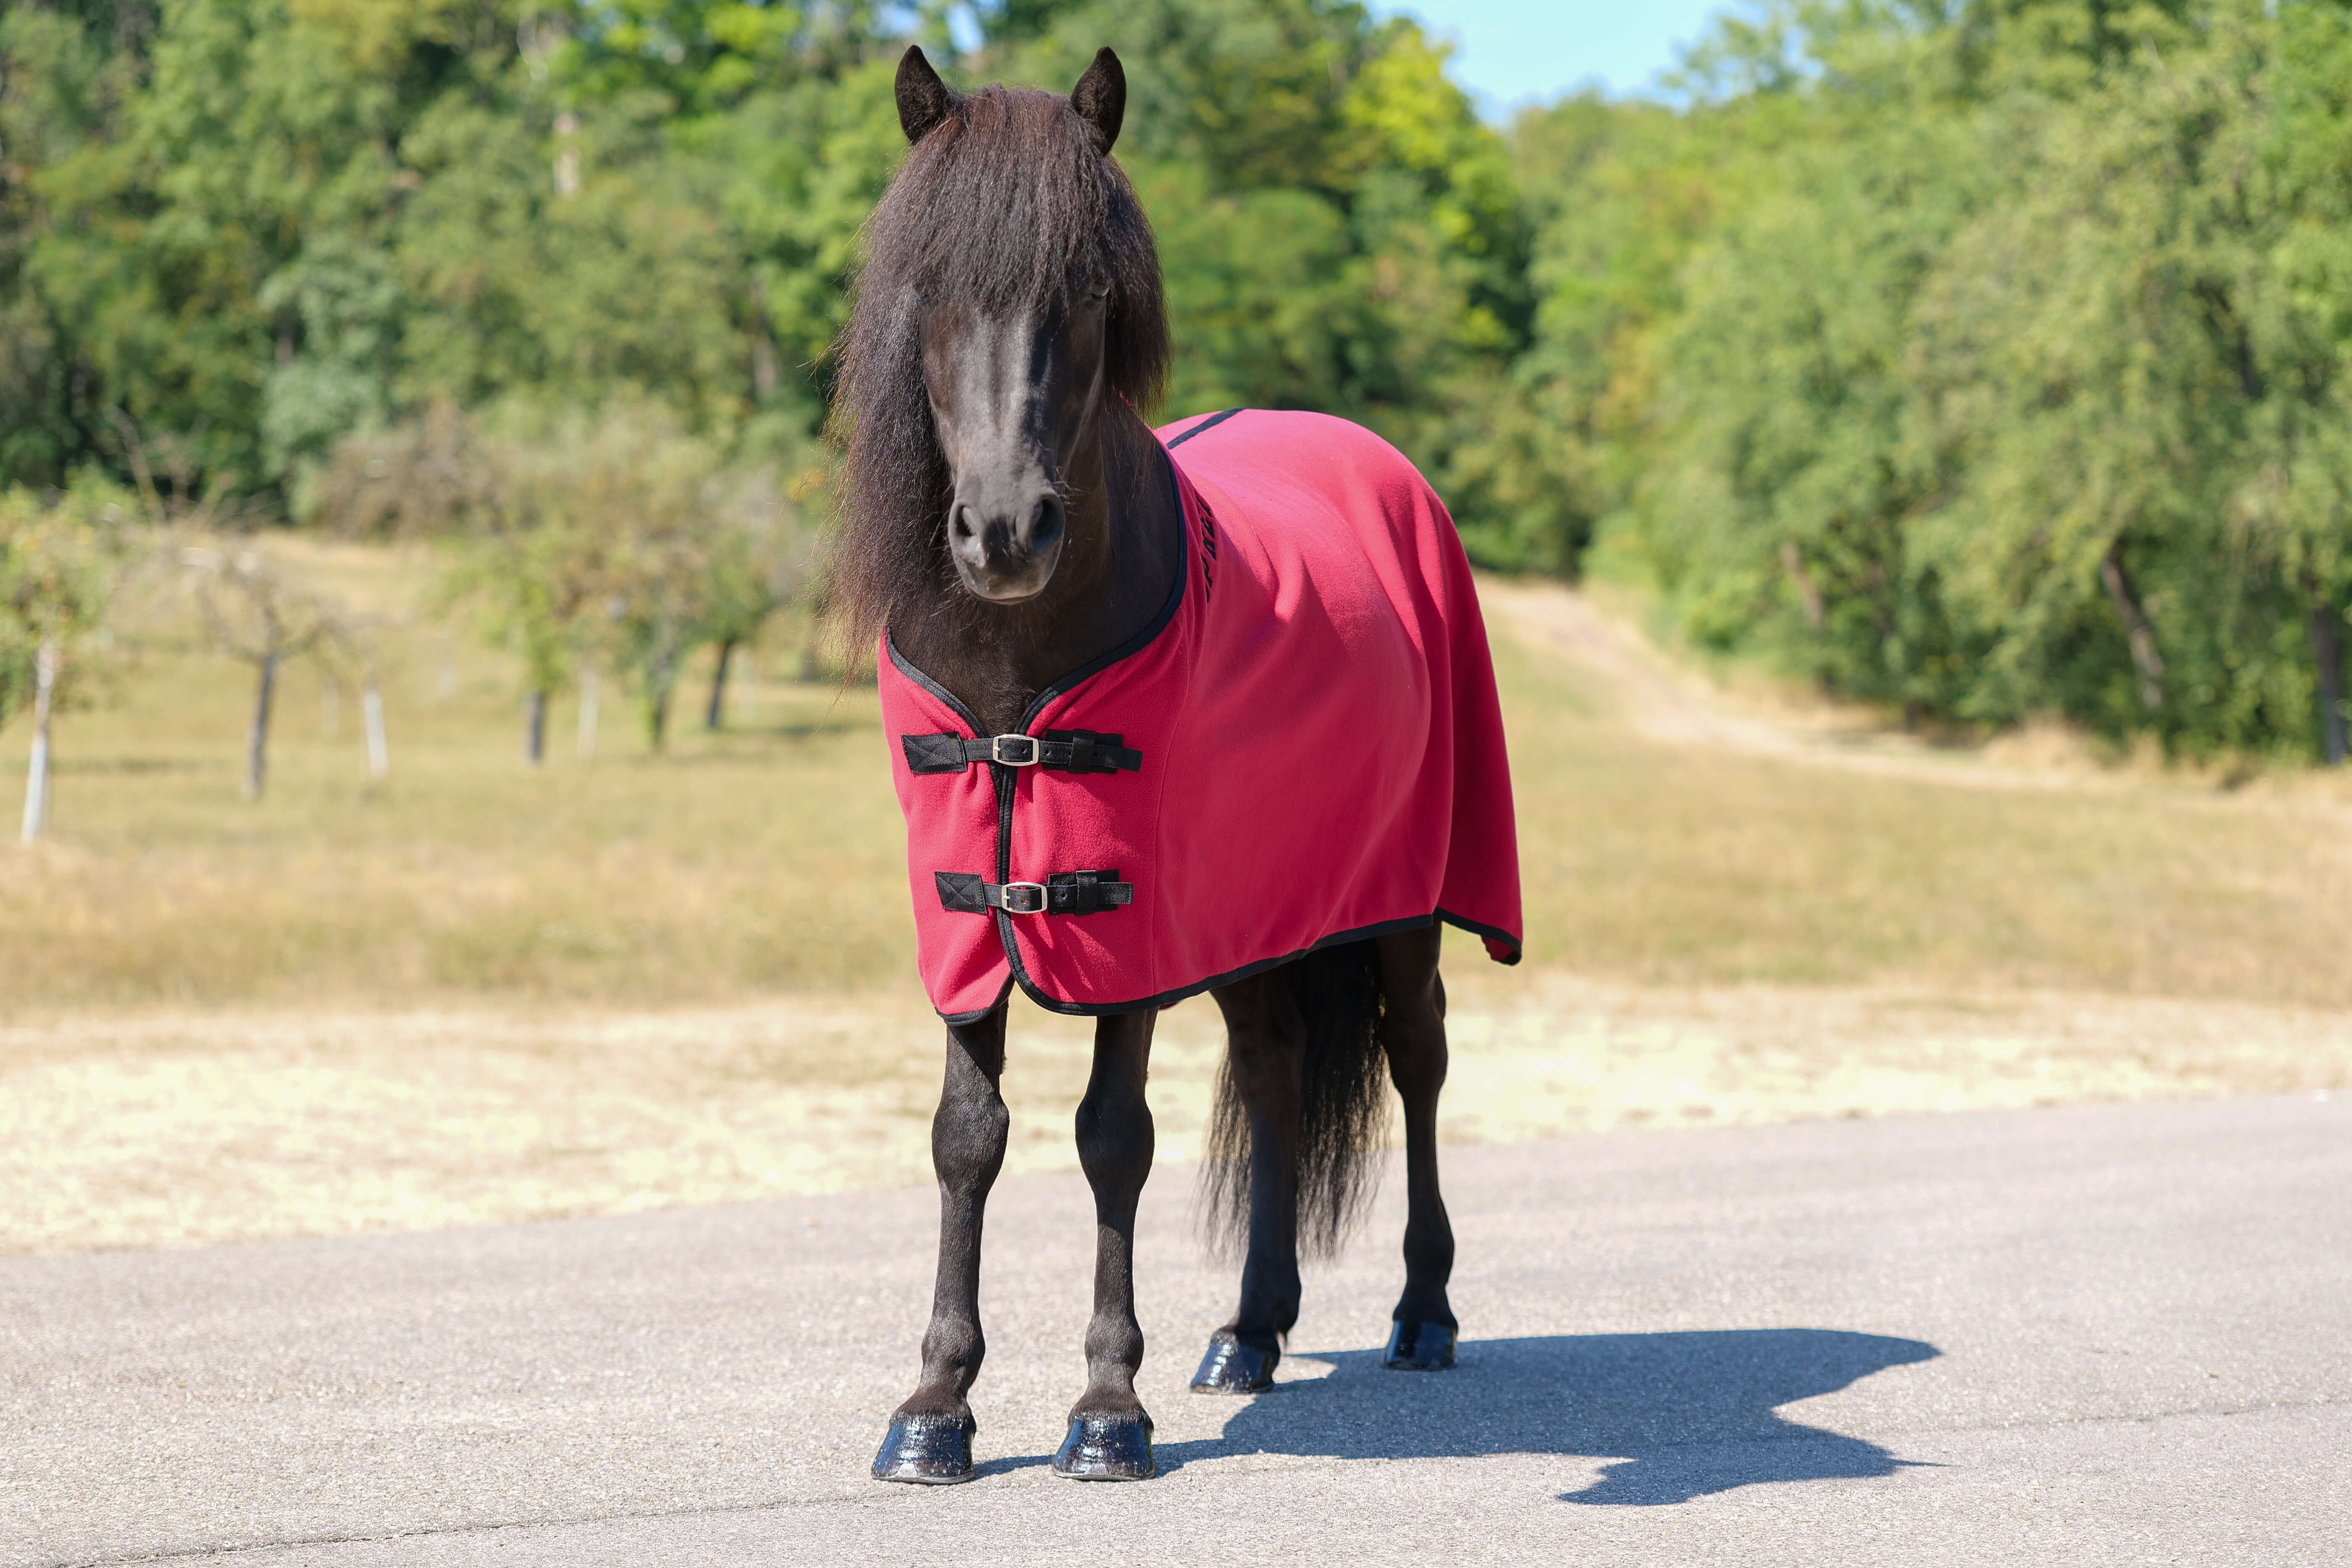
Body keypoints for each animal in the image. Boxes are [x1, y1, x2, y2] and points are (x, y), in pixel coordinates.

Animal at [837, 43, 1458, 1476]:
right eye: (932, 286)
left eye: (1085, 292)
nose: (1004, 531)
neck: (1020, 659)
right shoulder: (973, 913)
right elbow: (967, 1138)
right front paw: (934, 1404)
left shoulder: (1121, 923)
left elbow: (1112, 1139)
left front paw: (1106, 1408)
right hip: (1261, 916)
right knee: (1278, 1067)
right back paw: (1251, 1330)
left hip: (1402, 901)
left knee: (1418, 1060)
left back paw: (1423, 1309)